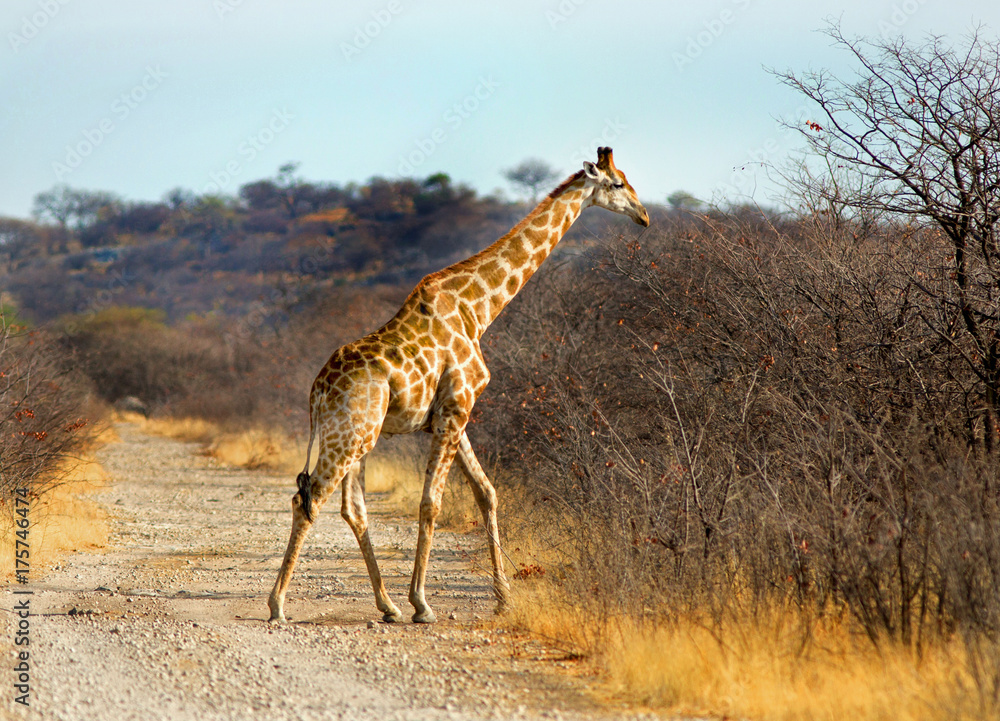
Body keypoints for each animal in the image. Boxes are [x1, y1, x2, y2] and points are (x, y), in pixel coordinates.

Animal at [268, 147, 649, 624]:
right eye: (618, 184)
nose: (644, 215)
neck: (478, 309)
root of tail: (317, 391)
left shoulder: (454, 413)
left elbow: (487, 493)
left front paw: (503, 597)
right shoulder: (456, 408)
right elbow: (432, 501)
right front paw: (423, 603)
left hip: (357, 436)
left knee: (350, 507)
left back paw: (387, 605)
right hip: (349, 435)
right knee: (309, 499)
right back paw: (278, 605)